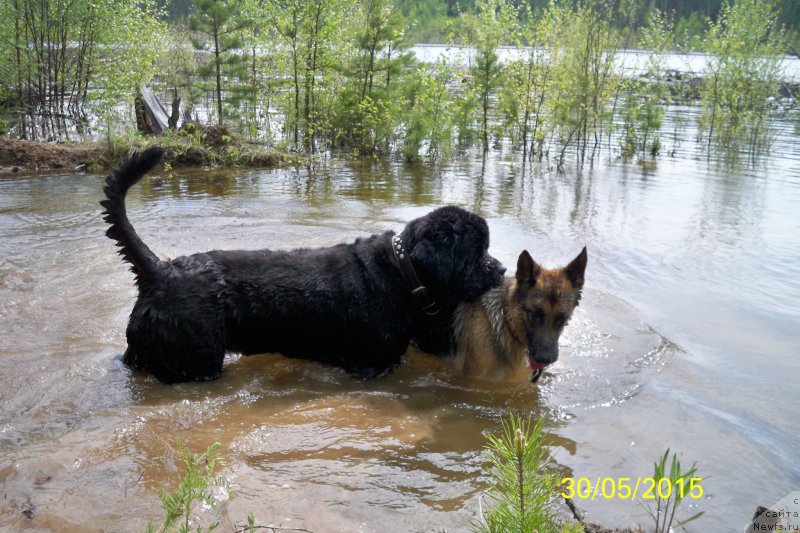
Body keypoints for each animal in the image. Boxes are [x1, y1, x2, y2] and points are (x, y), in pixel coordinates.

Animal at [98, 148, 500, 384]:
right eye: (478, 252)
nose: (500, 269)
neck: (404, 275)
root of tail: (158, 270)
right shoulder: (369, 366)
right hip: (196, 361)